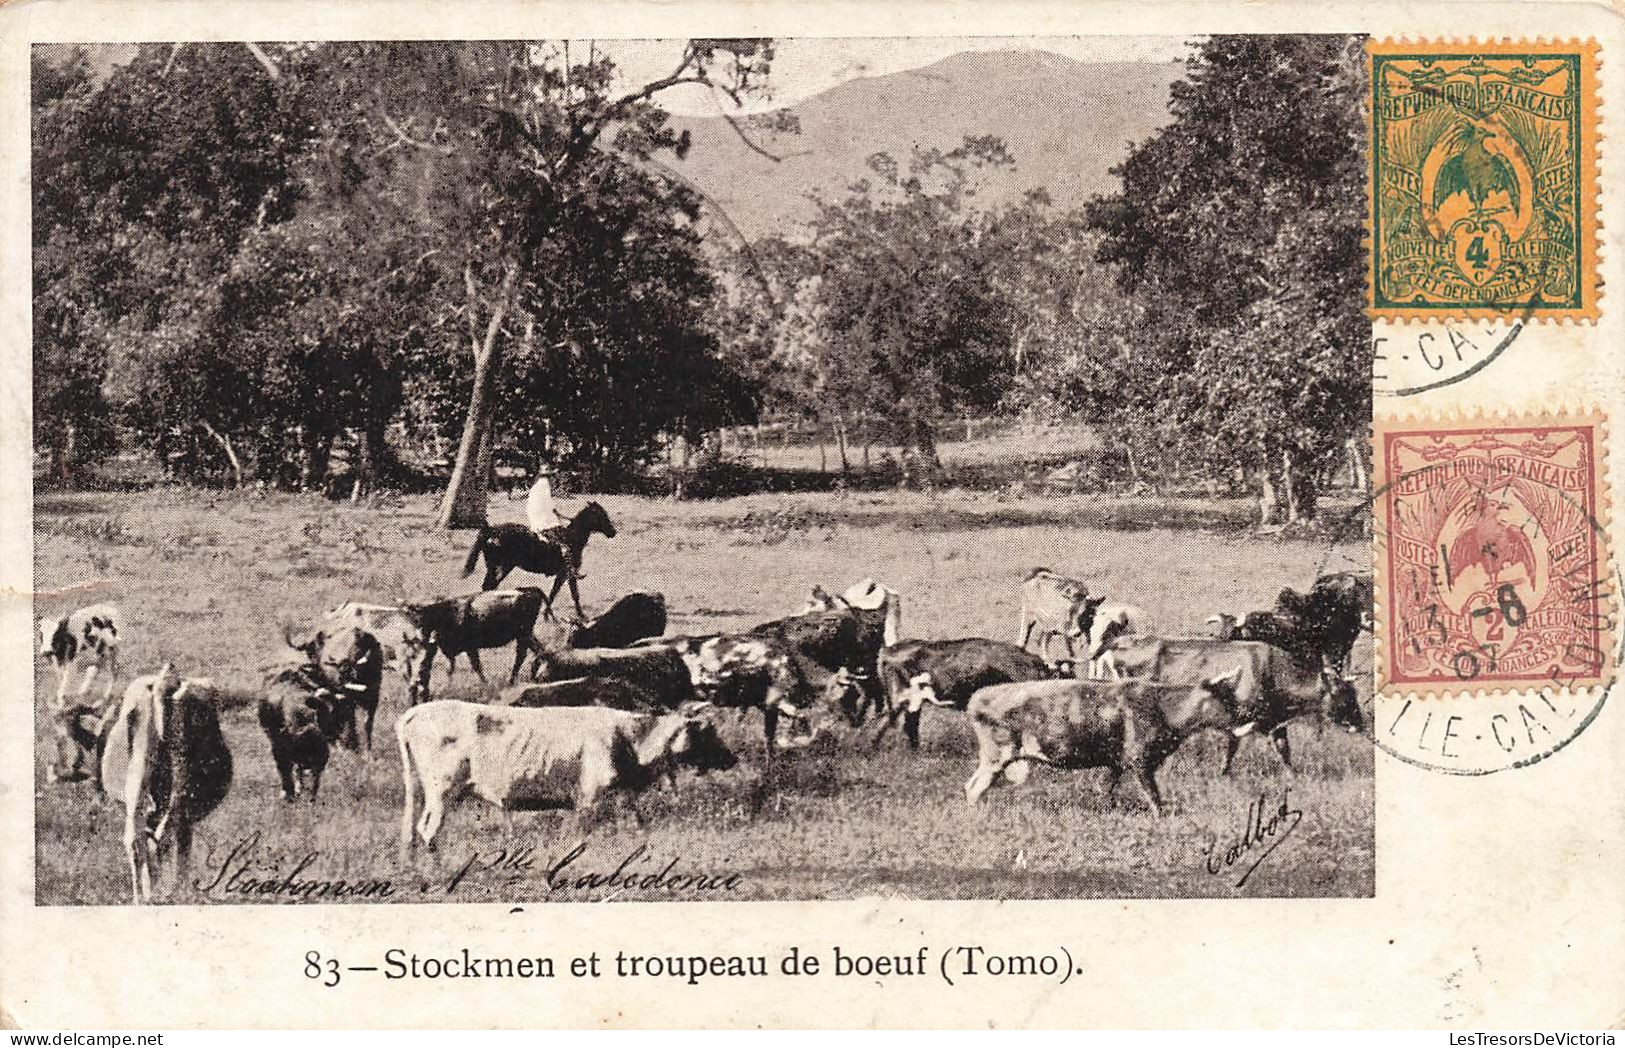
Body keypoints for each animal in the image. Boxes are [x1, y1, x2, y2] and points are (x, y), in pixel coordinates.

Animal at [461, 497, 617, 614]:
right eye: (601, 515)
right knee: (489, 586)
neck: (570, 539)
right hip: (500, 567)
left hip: (500, 567)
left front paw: (547, 614)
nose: (613, 532)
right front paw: (581, 616)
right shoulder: (568, 574)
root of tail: (492, 531)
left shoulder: (562, 575)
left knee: (489, 586)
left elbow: (553, 593)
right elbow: (574, 594)